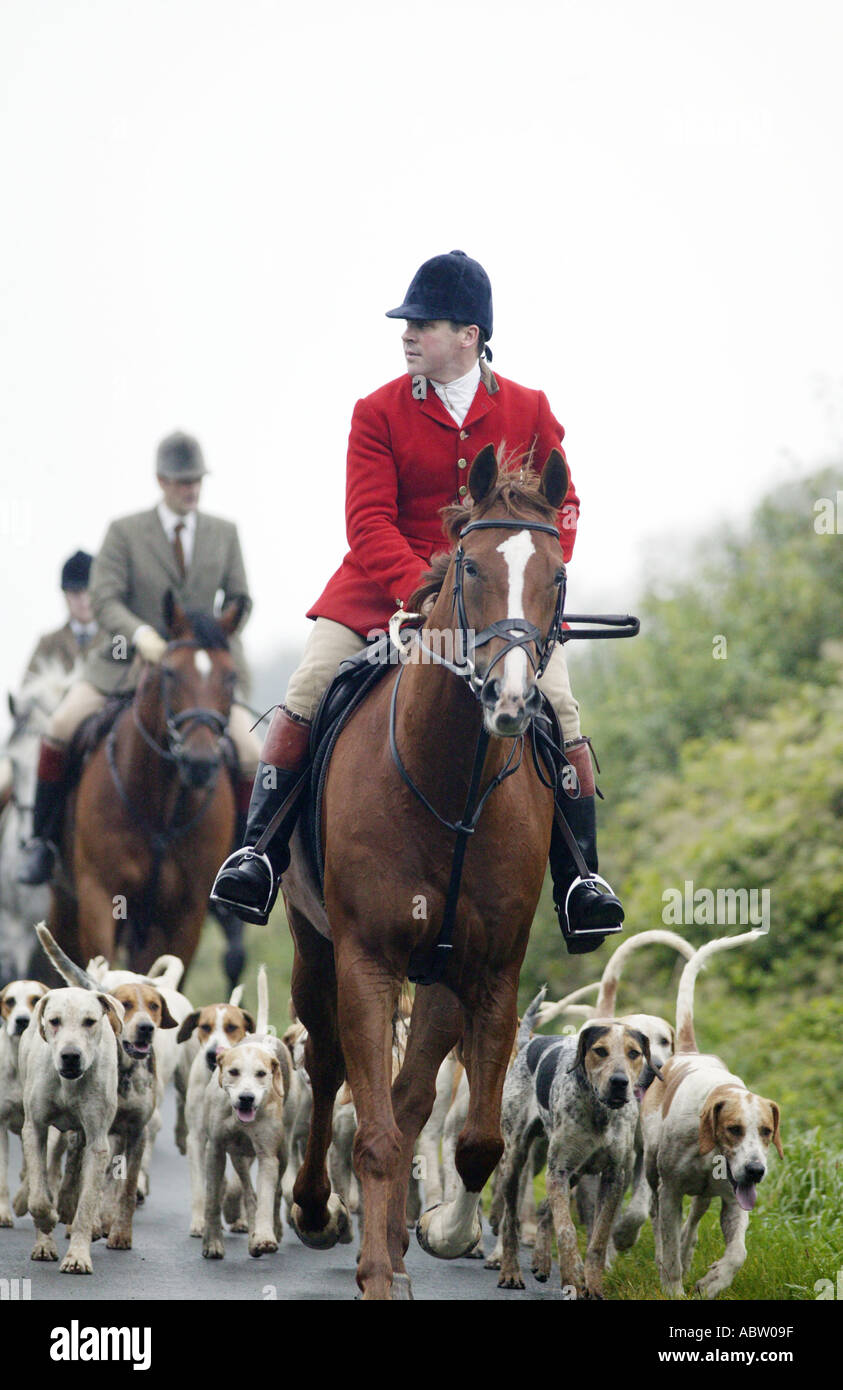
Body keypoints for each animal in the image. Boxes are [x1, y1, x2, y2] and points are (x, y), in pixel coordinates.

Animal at [47, 597, 244, 978]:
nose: (200, 763)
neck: (161, 810)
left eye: (231, 677)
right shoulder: (99, 895)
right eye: (170, 673)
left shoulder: (186, 913)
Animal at [285, 447, 575, 1301]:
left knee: (412, 1100)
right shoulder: (368, 962)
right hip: (315, 951)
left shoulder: (491, 970)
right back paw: (317, 1213)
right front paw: (375, 1268)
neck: (450, 787)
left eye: (556, 574)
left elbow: (473, 1140)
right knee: (326, 1064)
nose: (510, 701)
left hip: (440, 978)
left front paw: (443, 1233)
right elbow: (375, 1132)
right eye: (470, 565)